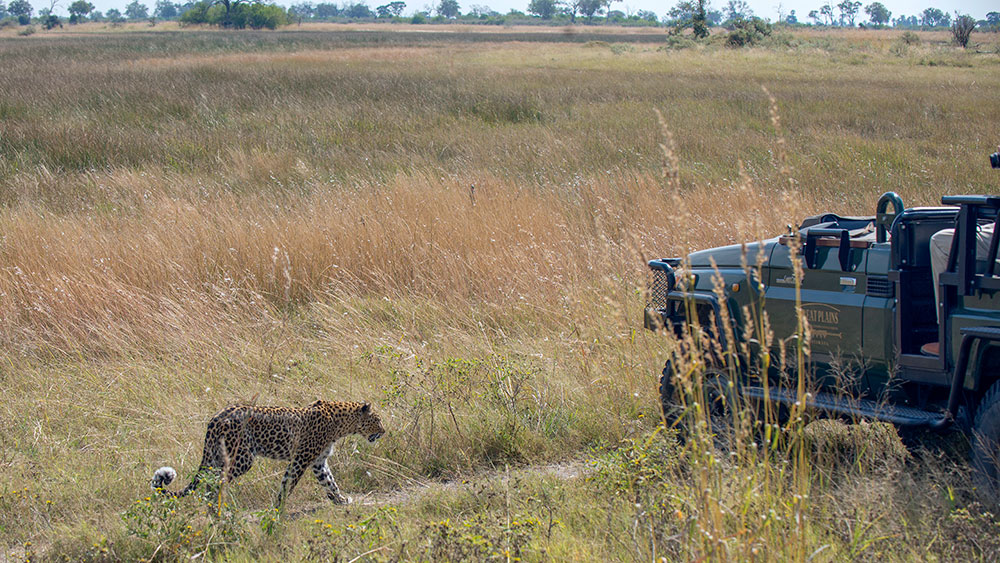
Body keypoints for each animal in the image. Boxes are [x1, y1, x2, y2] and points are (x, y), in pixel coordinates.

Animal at [152, 400, 386, 506]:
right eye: (377, 420)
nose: (383, 431)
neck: (342, 424)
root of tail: (216, 418)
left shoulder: (318, 462)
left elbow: (330, 482)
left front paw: (340, 500)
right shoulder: (301, 459)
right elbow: (289, 483)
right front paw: (279, 507)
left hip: (217, 457)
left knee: (210, 481)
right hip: (242, 458)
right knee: (218, 482)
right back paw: (217, 508)